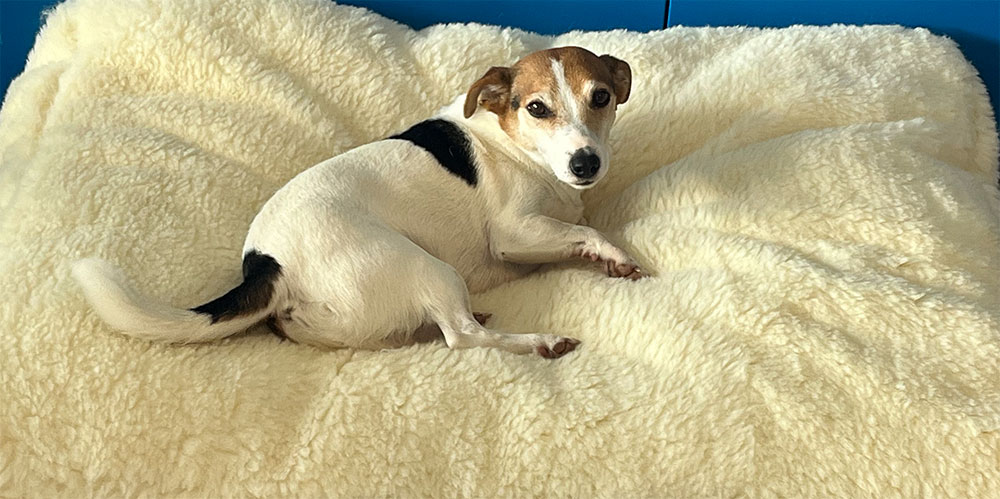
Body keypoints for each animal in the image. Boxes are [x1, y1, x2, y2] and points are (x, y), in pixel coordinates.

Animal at [74, 47, 644, 360]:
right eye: (537, 108)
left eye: (601, 97)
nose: (586, 164)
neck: (512, 140)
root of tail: (265, 263)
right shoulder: (513, 233)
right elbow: (587, 232)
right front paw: (615, 256)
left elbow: (578, 225)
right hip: (425, 266)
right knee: (463, 337)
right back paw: (539, 342)